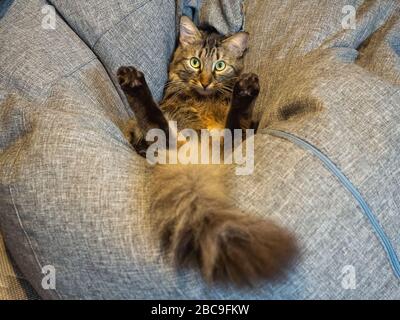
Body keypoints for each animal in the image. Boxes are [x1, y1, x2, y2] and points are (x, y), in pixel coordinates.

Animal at [117, 15, 296, 284]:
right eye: (195, 62)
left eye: (220, 66)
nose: (204, 82)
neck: (205, 100)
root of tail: (197, 158)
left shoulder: (245, 129)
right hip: (160, 138)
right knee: (155, 121)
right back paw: (132, 80)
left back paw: (246, 89)